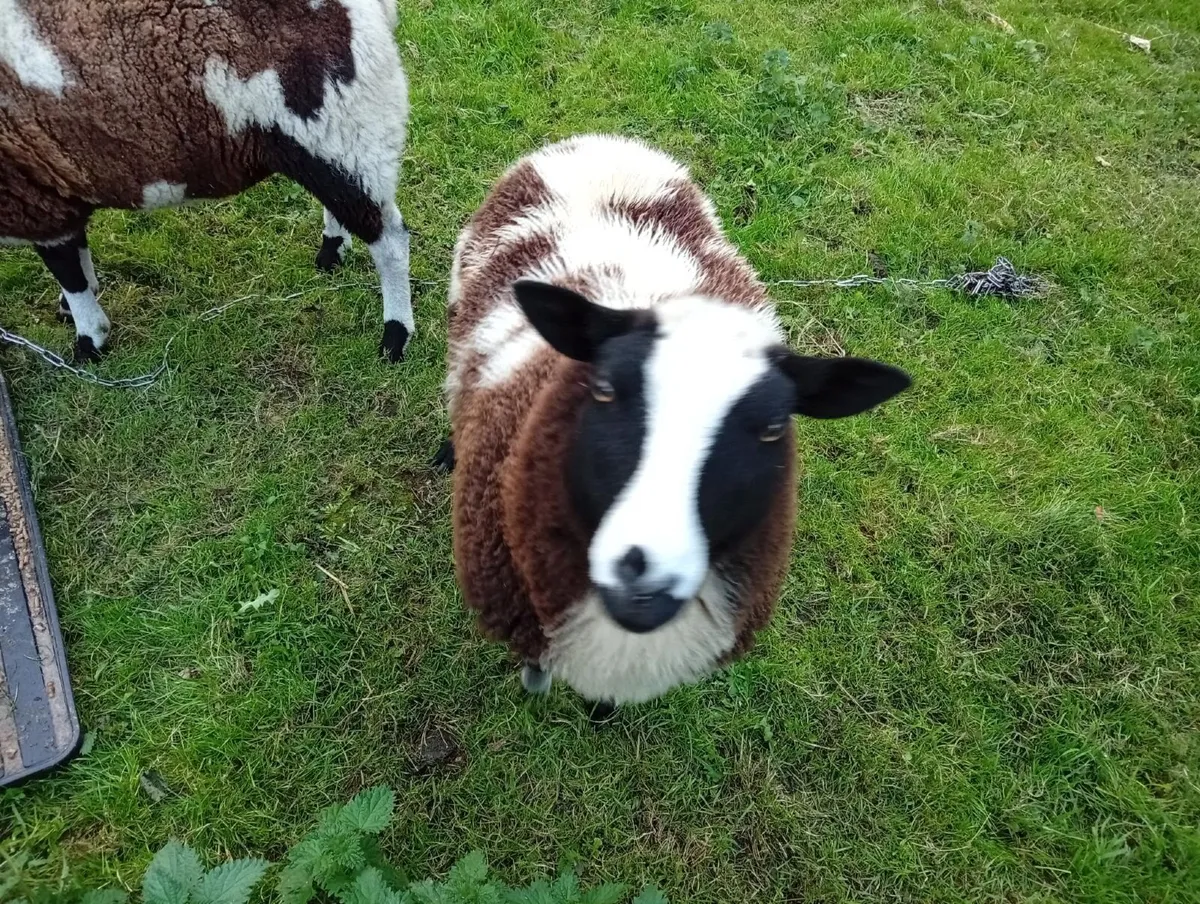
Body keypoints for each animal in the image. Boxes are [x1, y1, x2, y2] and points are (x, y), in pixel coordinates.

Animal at [0, 0, 414, 363]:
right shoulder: (61, 183)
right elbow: (77, 256)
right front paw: (74, 311)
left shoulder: (34, 198)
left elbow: (68, 271)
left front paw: (89, 342)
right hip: (330, 137)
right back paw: (331, 253)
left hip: (344, 124)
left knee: (390, 239)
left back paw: (395, 339)